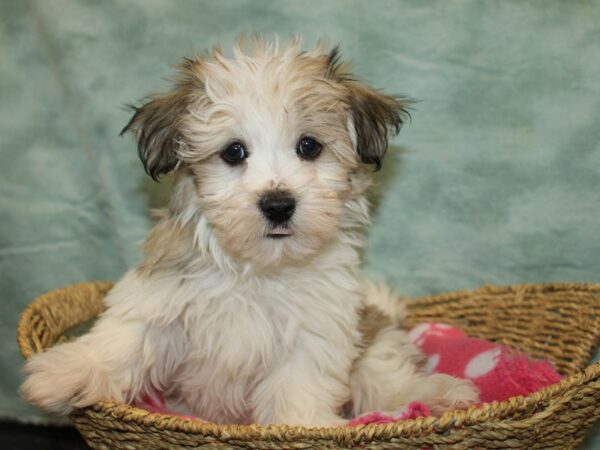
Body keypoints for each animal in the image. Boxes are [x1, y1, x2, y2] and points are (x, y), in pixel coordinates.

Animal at [19, 37, 478, 426]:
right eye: (233, 152)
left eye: (309, 146)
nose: (277, 204)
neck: (258, 270)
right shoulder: (163, 297)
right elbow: (124, 339)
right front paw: (66, 373)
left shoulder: (314, 333)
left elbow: (298, 389)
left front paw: (302, 428)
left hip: (374, 341)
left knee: (385, 381)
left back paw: (438, 394)